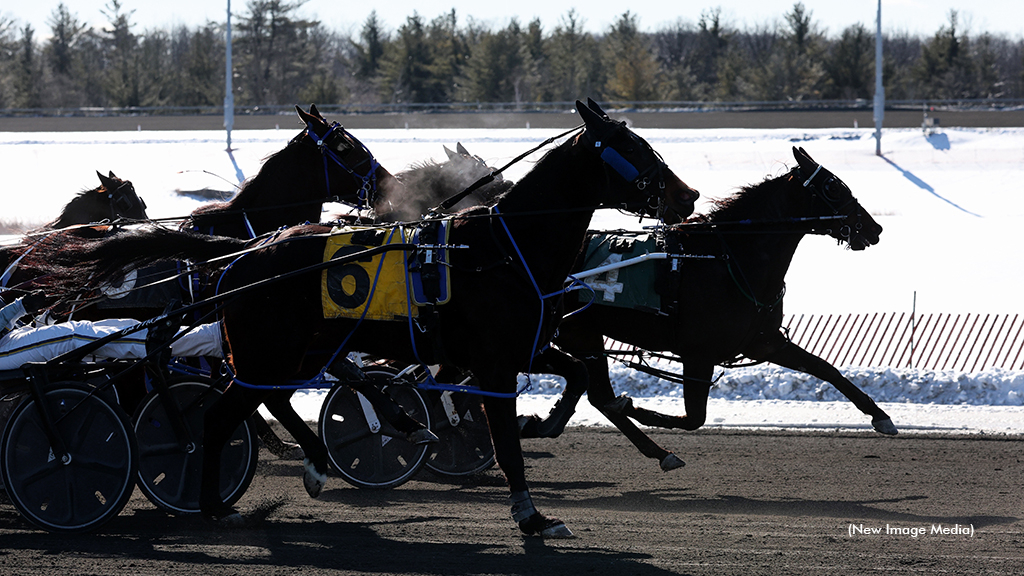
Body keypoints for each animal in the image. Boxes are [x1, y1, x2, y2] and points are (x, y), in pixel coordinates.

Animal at [36, 97, 700, 532]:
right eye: (633, 147)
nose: (688, 195)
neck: (505, 249)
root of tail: (243, 253)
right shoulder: (493, 364)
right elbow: (506, 438)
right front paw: (532, 515)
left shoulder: (524, 347)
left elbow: (579, 377)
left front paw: (553, 425)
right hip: (267, 353)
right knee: (221, 414)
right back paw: (213, 500)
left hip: (292, 352)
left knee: (264, 401)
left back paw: (312, 462)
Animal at [520, 145, 897, 469]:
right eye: (833, 187)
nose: (874, 227)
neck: (729, 259)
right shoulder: (698, 353)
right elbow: (693, 418)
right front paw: (635, 406)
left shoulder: (764, 341)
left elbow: (826, 368)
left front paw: (881, 416)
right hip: (577, 333)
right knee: (599, 395)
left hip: (584, 334)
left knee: (599, 396)